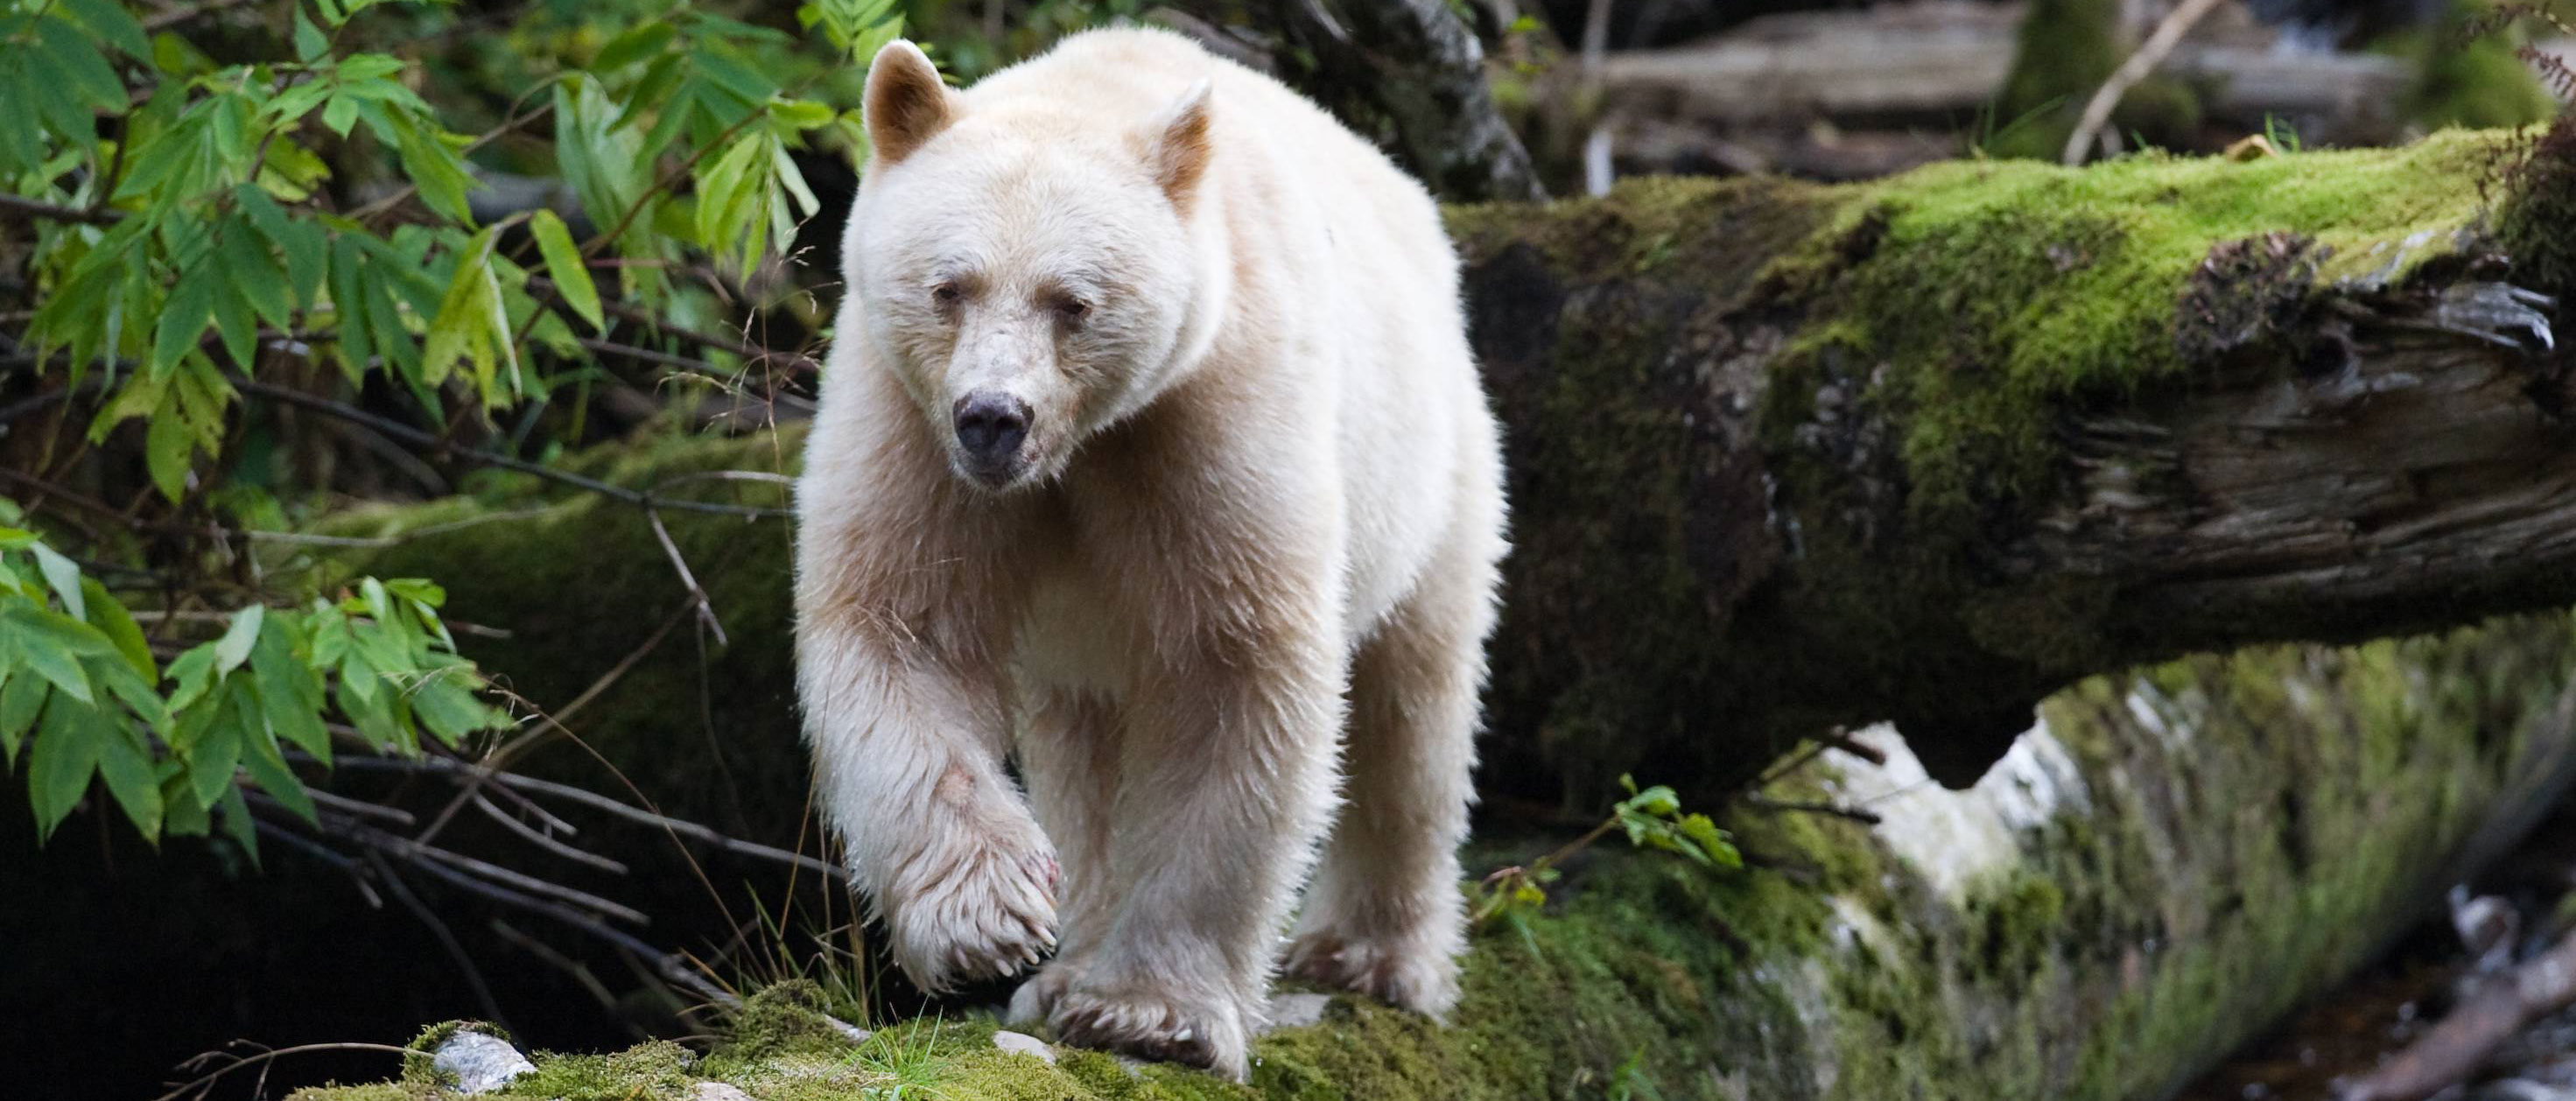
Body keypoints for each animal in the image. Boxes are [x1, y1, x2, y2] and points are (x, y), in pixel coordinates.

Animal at [791, 27, 1507, 1080]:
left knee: (1411, 707)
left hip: (1434, 472)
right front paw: (989, 920)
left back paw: (1372, 957)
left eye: (1073, 303)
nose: (992, 419)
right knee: (1081, 748)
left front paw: (1150, 1011)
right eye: (948, 287)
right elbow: (903, 626)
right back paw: (1065, 962)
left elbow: (1231, 673)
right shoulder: (908, 422)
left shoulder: (1209, 415)